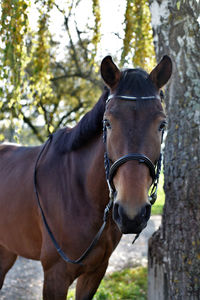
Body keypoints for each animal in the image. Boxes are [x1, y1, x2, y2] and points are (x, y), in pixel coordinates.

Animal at [0, 55, 172, 298]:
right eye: (107, 122)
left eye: (162, 124)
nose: (131, 213)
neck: (81, 193)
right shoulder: (55, 275)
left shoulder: (96, 271)